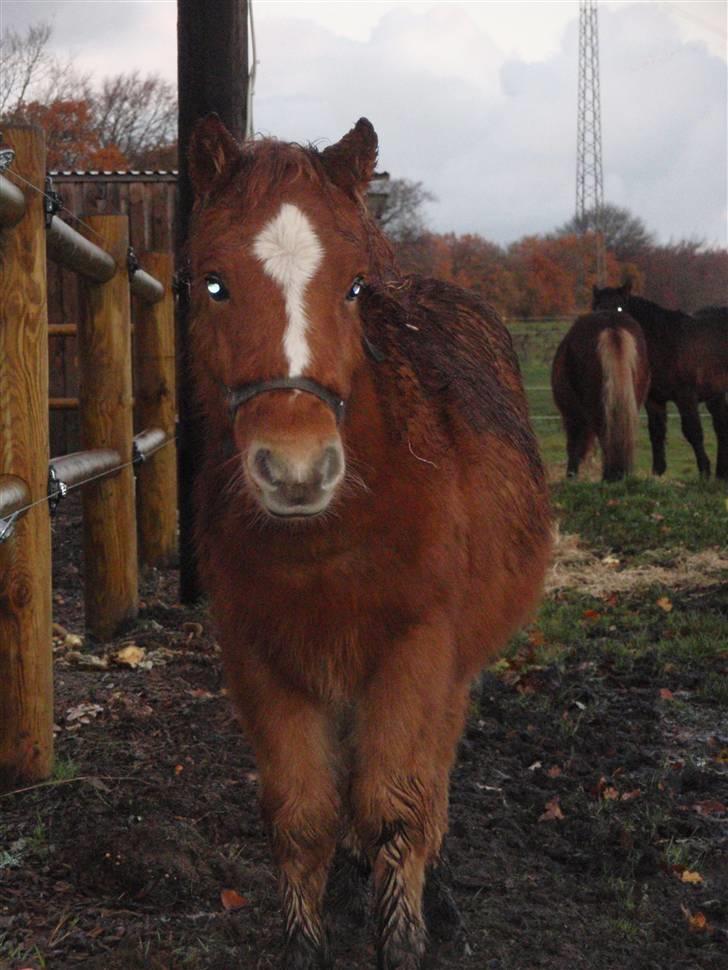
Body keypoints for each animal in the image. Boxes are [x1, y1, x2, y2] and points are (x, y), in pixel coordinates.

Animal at [188, 115, 552, 968]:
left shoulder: (417, 652)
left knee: (429, 777)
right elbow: (301, 815)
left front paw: (406, 930)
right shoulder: (260, 658)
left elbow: (396, 808)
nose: (296, 468)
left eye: (354, 287)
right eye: (213, 283)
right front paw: (305, 941)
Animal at [552, 308, 648, 478]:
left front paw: (571, 476)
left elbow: (573, 446)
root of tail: (612, 325)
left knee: (603, 437)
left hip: (593, 407)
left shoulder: (572, 416)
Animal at [592, 280, 728, 476]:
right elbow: (656, 433)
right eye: (596, 308)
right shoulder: (654, 400)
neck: (662, 343)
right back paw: (722, 474)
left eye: (619, 307)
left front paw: (704, 471)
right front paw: (657, 473)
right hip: (715, 393)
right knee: (721, 426)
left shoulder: (686, 396)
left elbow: (693, 431)